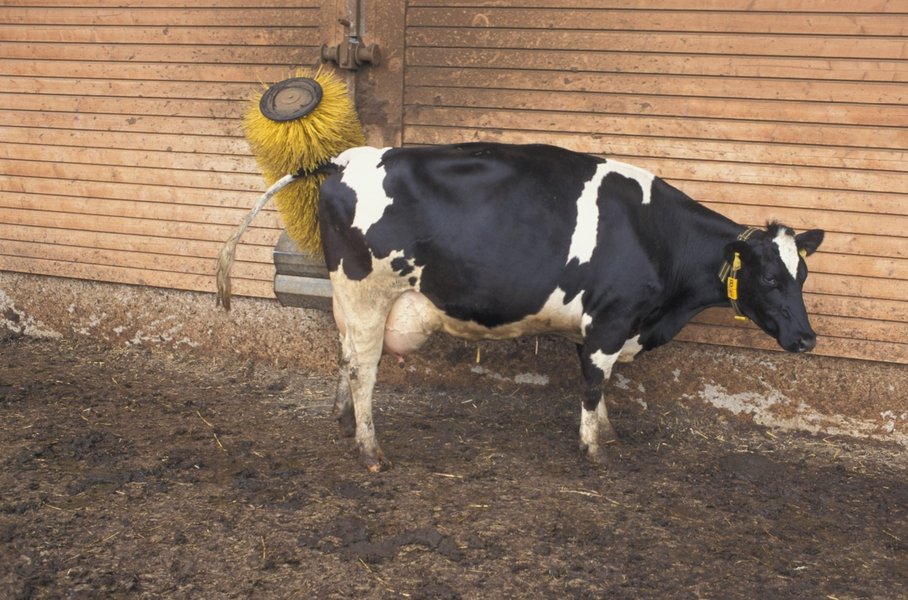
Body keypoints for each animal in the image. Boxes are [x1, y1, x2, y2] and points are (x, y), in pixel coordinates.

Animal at [317, 142, 824, 472]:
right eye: (771, 278)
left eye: (802, 275)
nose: (806, 338)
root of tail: (352, 157)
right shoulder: (611, 320)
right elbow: (594, 383)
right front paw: (594, 449)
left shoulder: (600, 323)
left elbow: (599, 384)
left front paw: (607, 432)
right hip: (367, 294)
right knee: (363, 368)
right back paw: (370, 450)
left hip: (349, 301)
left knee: (345, 356)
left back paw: (345, 423)